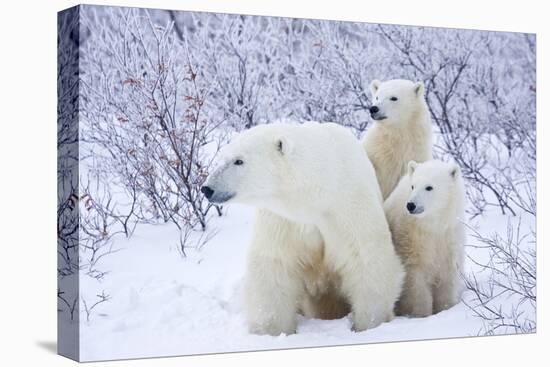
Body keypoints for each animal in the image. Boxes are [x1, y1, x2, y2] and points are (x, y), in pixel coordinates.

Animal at [204, 122, 406, 334]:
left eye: (239, 161)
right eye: (223, 156)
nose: (207, 188)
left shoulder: (348, 208)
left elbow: (366, 260)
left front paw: (369, 324)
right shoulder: (283, 220)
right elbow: (274, 266)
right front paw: (271, 330)